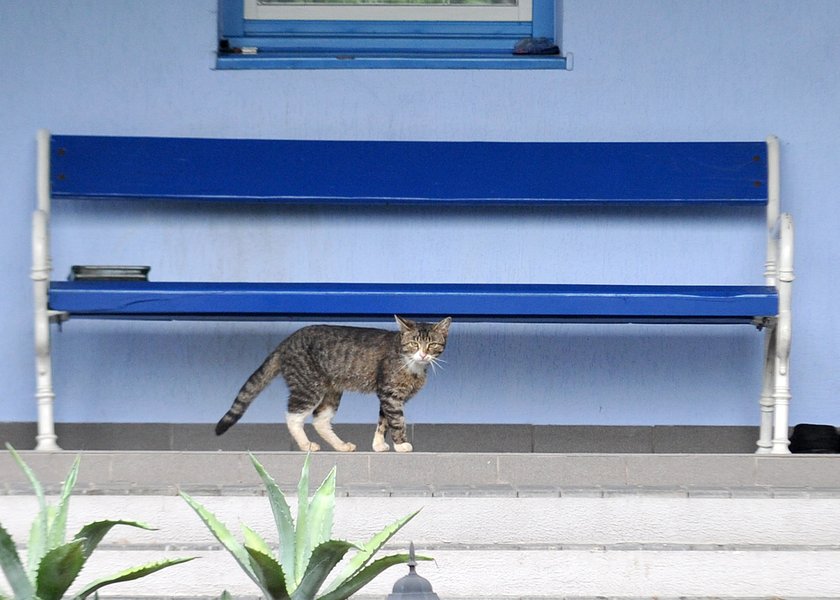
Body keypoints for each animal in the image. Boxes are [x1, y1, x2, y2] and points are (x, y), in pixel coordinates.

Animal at [217, 316, 452, 452]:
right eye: (414, 344)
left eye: (432, 345)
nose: (423, 354)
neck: (412, 364)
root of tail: (286, 342)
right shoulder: (390, 393)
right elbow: (396, 420)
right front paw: (401, 444)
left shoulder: (387, 395)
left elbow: (382, 421)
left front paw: (378, 445)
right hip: (309, 386)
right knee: (293, 416)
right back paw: (306, 445)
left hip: (332, 390)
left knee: (320, 420)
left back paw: (340, 446)